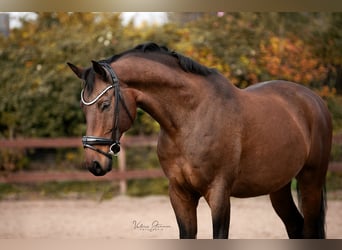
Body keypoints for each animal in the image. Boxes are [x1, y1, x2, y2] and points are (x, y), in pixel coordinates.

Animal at [67, 42, 332, 239]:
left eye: (105, 104)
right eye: (83, 107)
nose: (94, 163)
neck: (190, 119)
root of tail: (313, 99)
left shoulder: (219, 194)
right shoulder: (180, 193)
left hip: (311, 181)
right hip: (279, 187)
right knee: (295, 226)